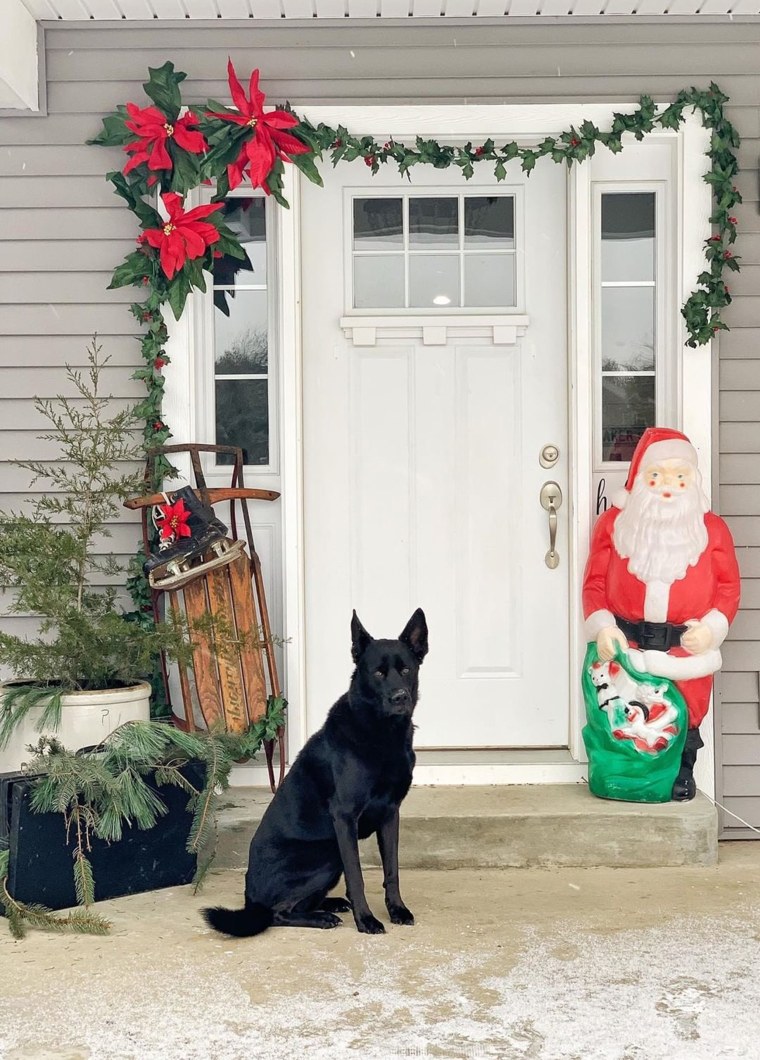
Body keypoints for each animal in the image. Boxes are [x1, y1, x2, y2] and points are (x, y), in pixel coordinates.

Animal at [201, 606, 426, 937]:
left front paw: (397, 909)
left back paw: (330, 905)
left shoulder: (390, 814)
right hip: (327, 853)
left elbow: (392, 870)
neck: (383, 735)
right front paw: (366, 920)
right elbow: (356, 876)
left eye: (406, 670)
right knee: (278, 913)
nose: (400, 698)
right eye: (378, 672)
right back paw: (321, 917)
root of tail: (250, 900)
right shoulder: (344, 817)